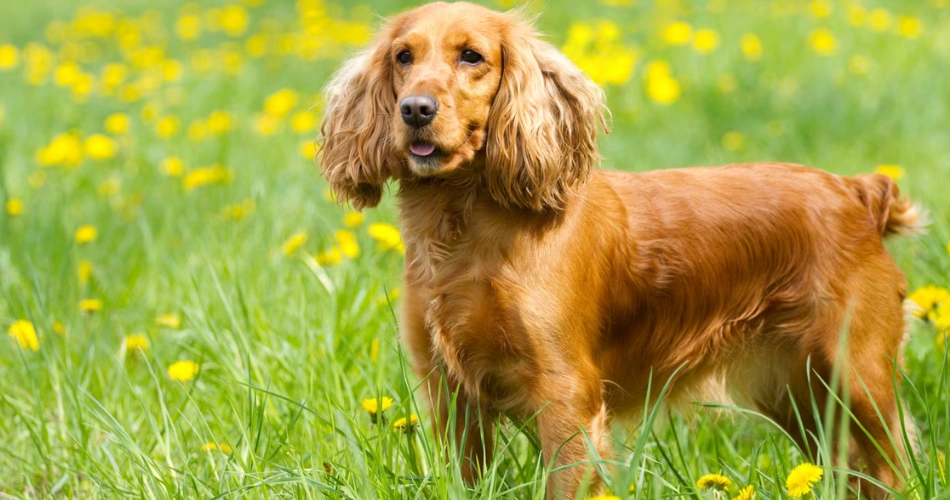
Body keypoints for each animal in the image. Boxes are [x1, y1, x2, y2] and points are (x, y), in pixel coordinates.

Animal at [318, 2, 924, 496]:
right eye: (403, 56)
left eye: (472, 56)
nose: (415, 109)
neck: (466, 230)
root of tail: (857, 191)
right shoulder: (449, 392)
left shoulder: (567, 397)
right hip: (798, 394)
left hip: (857, 377)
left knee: (892, 468)